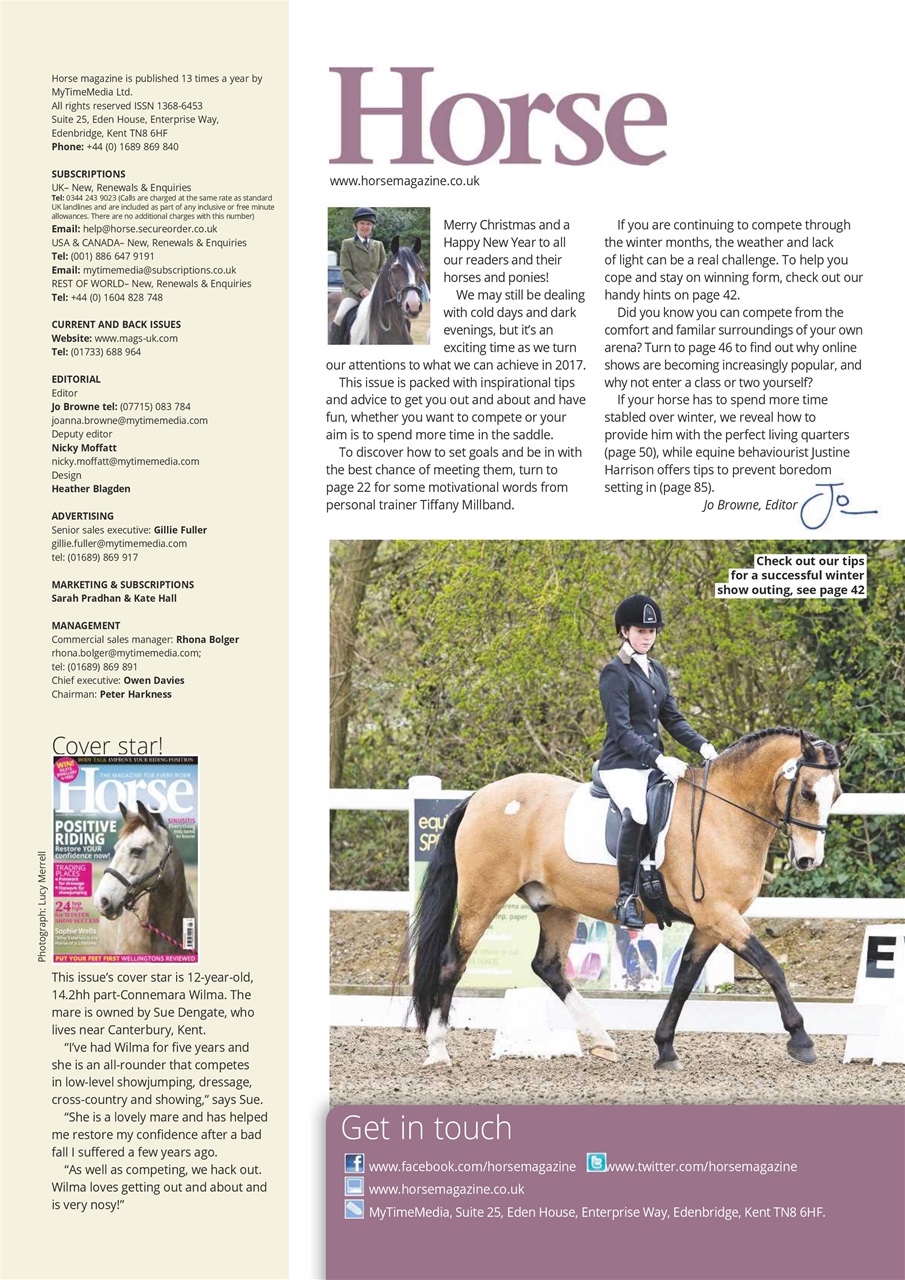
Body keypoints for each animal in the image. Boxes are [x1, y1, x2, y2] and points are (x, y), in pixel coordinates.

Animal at [408, 728, 845, 1071]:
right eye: (807, 792)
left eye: (837, 794)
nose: (809, 860)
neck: (723, 814)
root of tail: (479, 797)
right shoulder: (718, 914)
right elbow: (771, 967)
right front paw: (801, 1040)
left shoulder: (711, 922)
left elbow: (684, 981)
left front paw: (665, 1048)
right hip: (483, 897)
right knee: (453, 961)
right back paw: (438, 1049)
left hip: (555, 905)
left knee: (547, 966)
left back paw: (600, 1038)